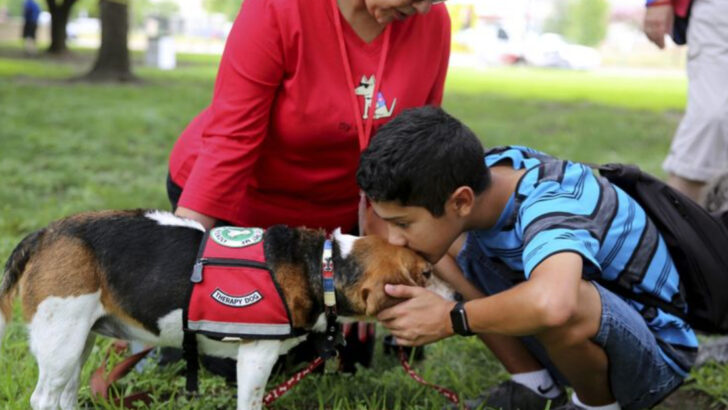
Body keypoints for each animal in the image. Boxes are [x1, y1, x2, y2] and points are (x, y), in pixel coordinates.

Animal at [0, 211, 450, 410]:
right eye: (425, 272)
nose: (455, 297)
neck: (323, 264)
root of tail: (44, 234)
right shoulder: (256, 356)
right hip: (62, 340)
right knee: (44, 397)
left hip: (79, 342)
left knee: (64, 394)